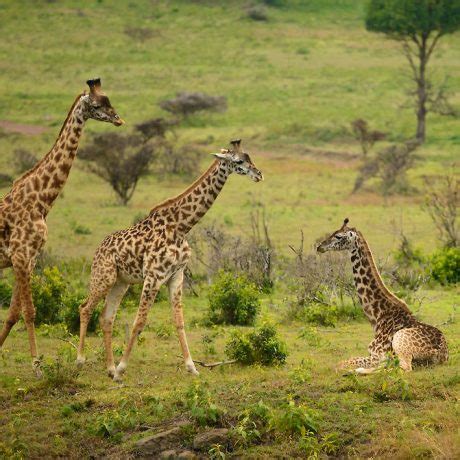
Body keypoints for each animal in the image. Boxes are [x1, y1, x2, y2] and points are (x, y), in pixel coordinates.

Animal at [0, 79, 124, 376]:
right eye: (98, 103)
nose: (118, 119)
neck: (40, 200)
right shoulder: (21, 256)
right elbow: (29, 312)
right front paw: (37, 367)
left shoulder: (27, 259)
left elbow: (12, 313)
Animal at [77, 139, 264, 380]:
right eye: (239, 161)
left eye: (249, 158)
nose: (259, 174)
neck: (181, 226)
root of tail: (98, 249)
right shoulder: (153, 276)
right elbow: (139, 322)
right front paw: (122, 368)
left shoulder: (176, 275)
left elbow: (179, 322)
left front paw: (192, 367)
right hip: (104, 276)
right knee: (85, 308)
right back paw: (81, 361)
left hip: (121, 283)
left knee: (106, 317)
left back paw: (109, 369)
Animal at [316, 219, 450, 374]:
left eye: (338, 236)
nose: (320, 247)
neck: (377, 315)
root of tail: (441, 354)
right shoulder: (374, 354)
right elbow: (342, 363)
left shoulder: (377, 354)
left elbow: (340, 364)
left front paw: (353, 369)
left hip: (399, 342)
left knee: (403, 368)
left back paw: (357, 371)